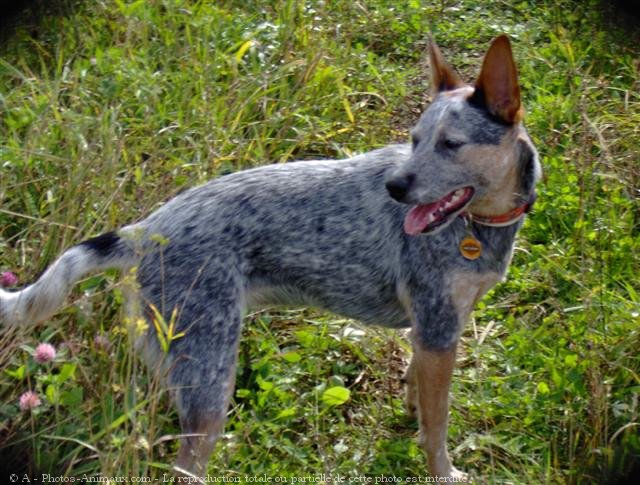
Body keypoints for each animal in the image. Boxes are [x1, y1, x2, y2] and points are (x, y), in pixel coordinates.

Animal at [0, 36, 540, 478]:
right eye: (414, 141)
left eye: (450, 144)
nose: (393, 187)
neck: (480, 224)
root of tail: (145, 231)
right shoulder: (438, 331)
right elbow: (439, 430)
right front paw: (443, 471)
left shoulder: (436, 330)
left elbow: (418, 398)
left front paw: (412, 416)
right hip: (210, 383)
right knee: (184, 464)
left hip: (176, 370)